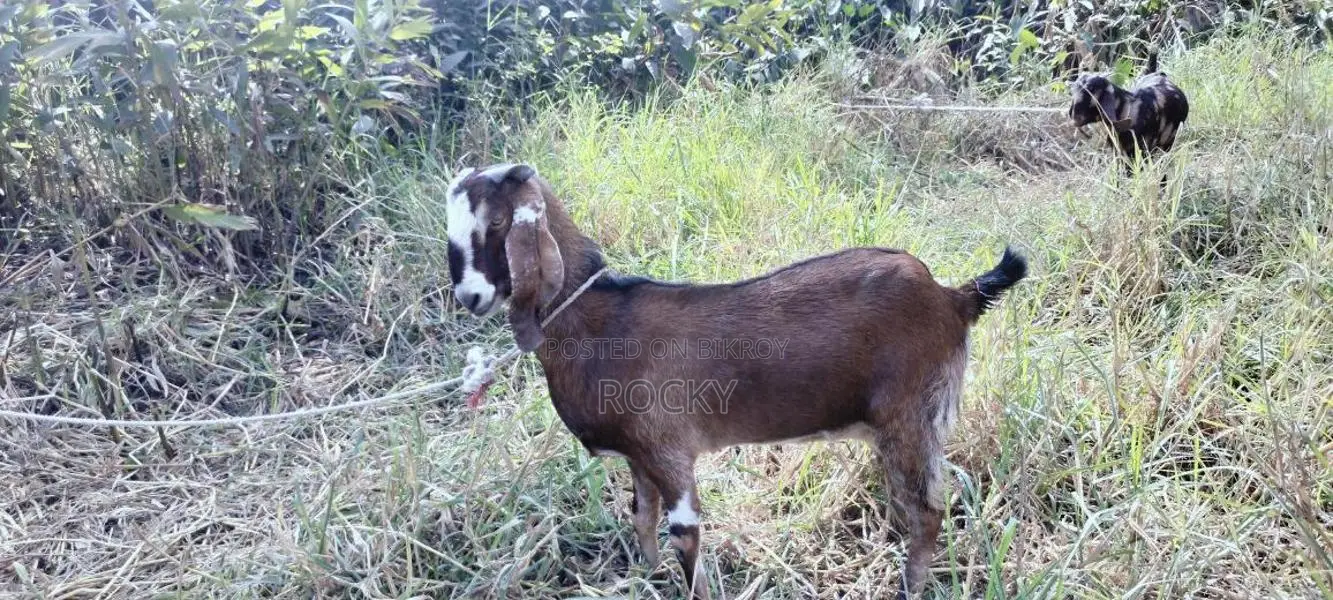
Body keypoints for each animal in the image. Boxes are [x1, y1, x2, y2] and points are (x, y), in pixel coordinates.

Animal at [445, 163, 1029, 599]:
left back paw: (909, 589)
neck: (600, 319)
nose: (469, 297)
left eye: (497, 224)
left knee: (927, 511)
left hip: (910, 416)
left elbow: (685, 540)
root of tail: (954, 297)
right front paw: (643, 577)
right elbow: (641, 518)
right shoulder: (639, 455)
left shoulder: (668, 450)